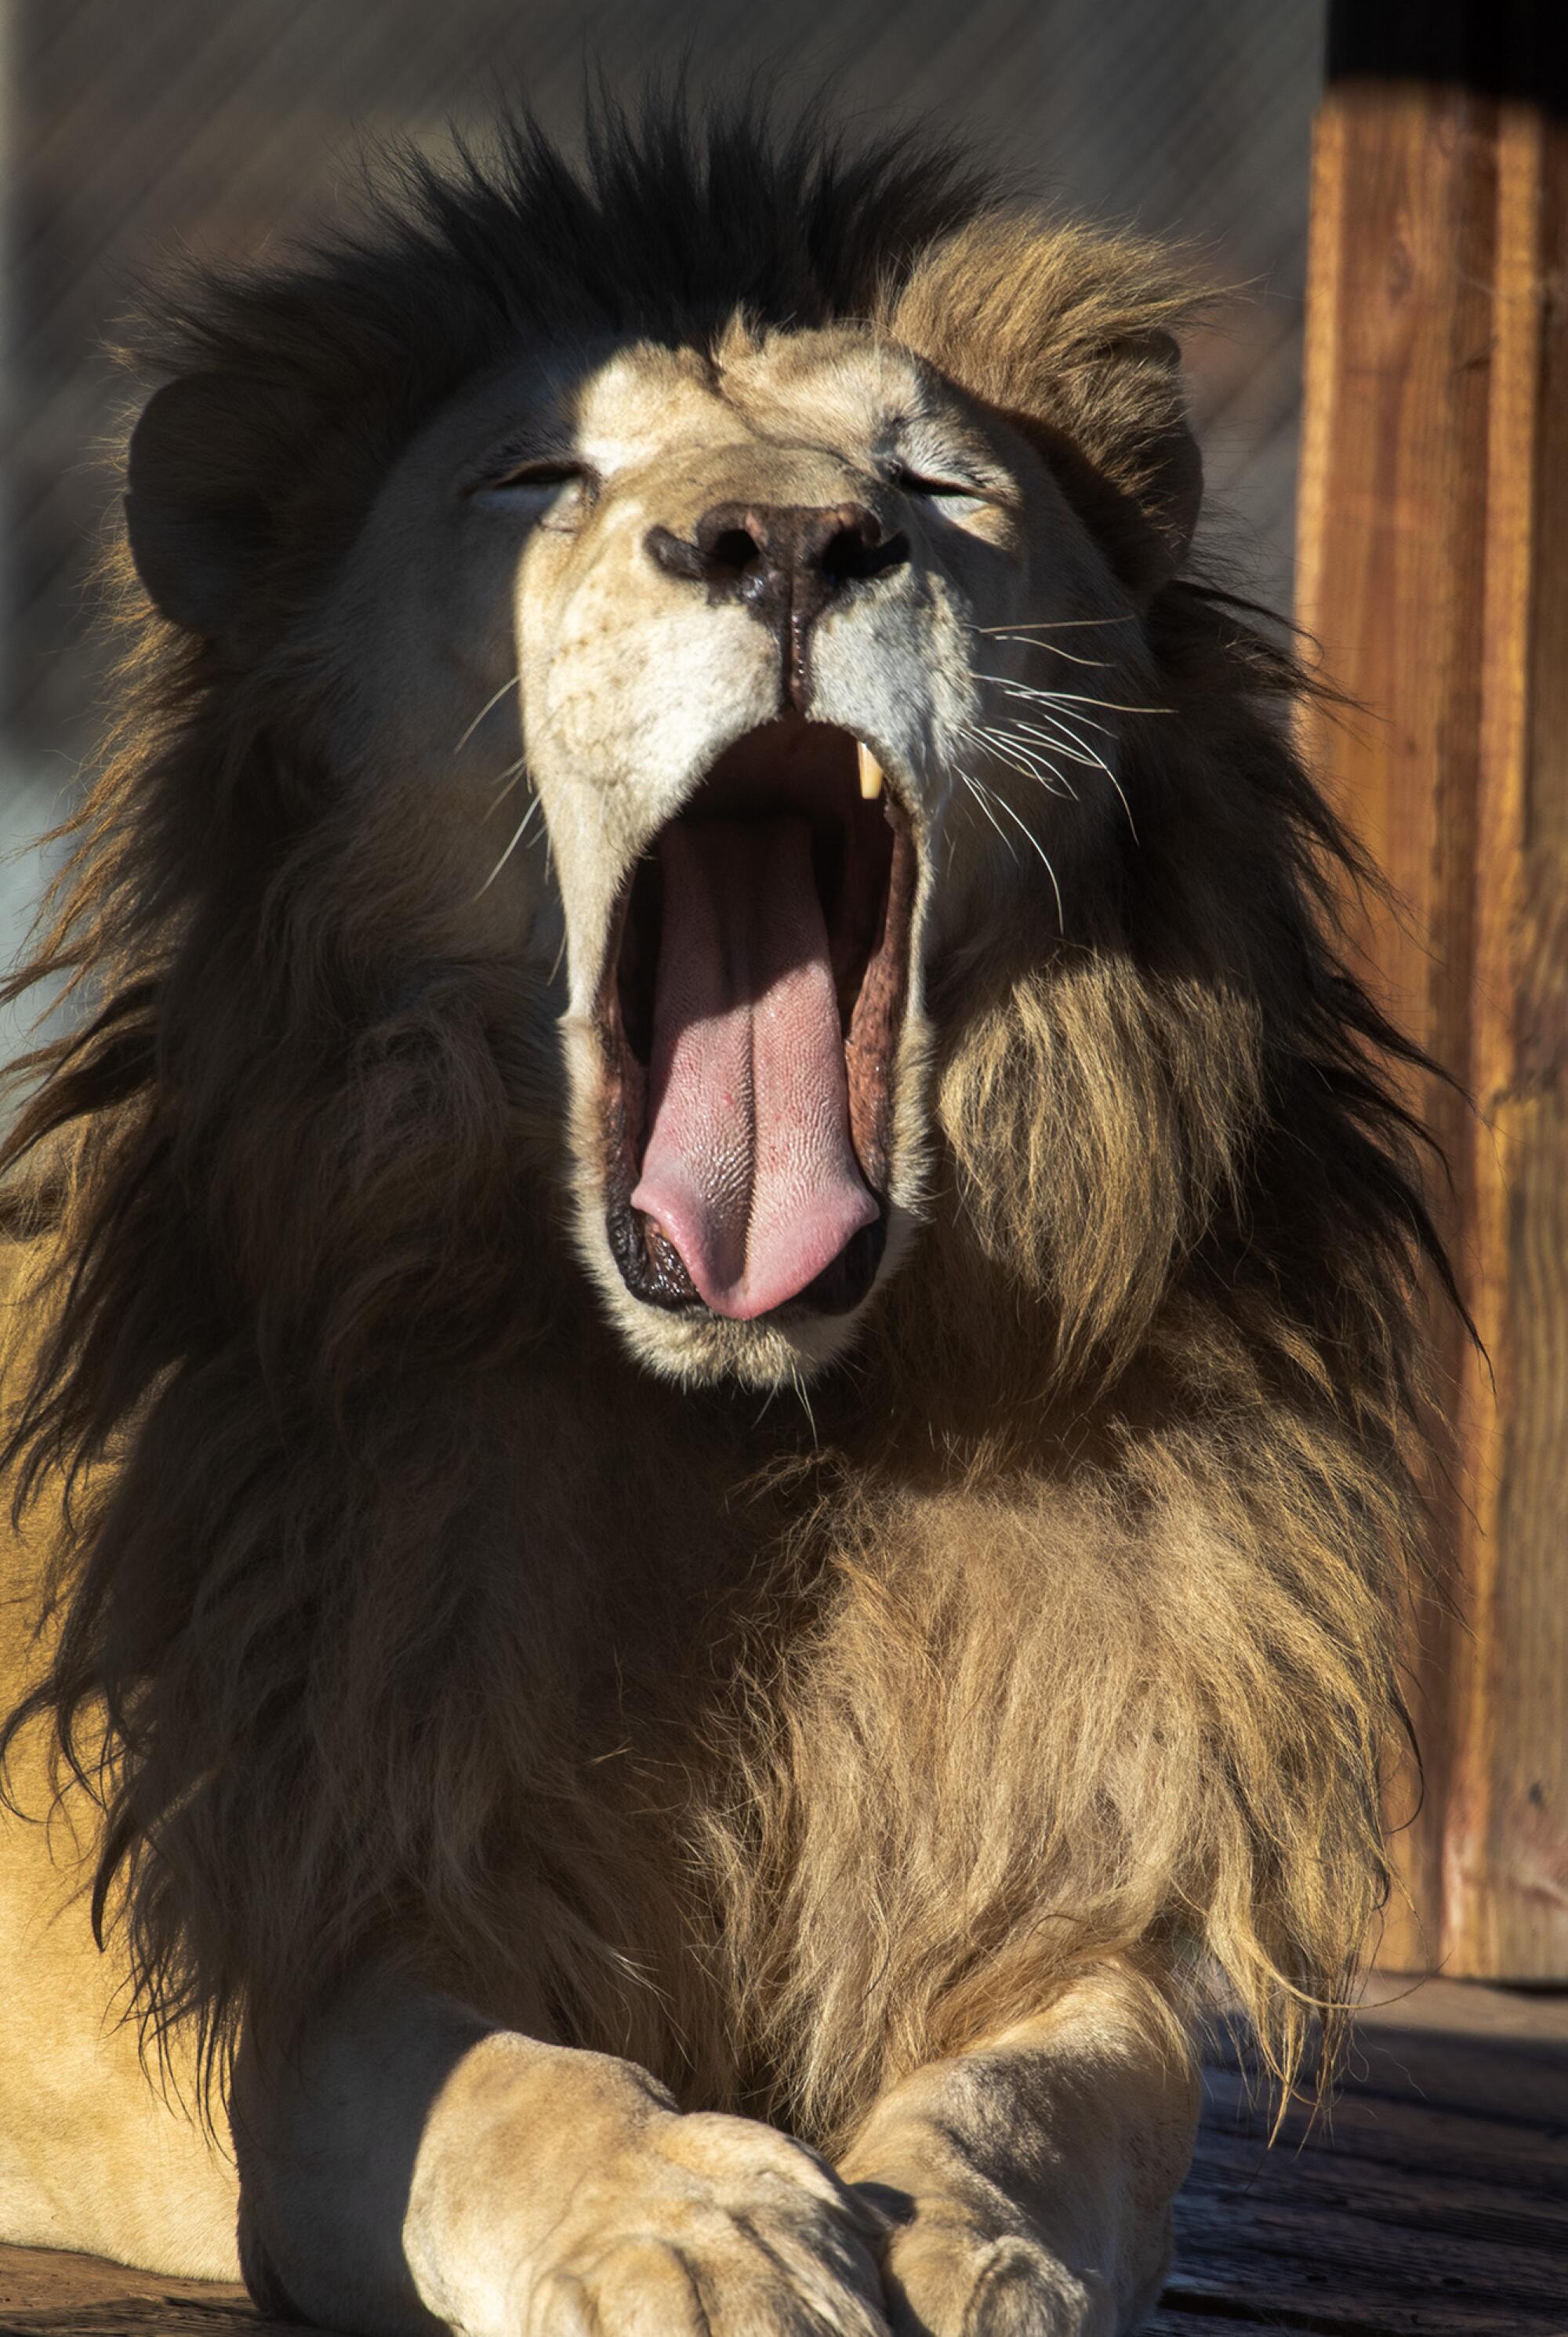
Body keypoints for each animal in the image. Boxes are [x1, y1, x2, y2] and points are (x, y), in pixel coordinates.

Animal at [0, 96, 1457, 2337]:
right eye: (539, 479)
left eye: (930, 483)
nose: (782, 541)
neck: (749, 1435)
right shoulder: (283, 1950)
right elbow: (498, 2083)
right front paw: (696, 2225)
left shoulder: (1077, 1913)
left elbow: (1047, 2088)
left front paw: (970, 2239)